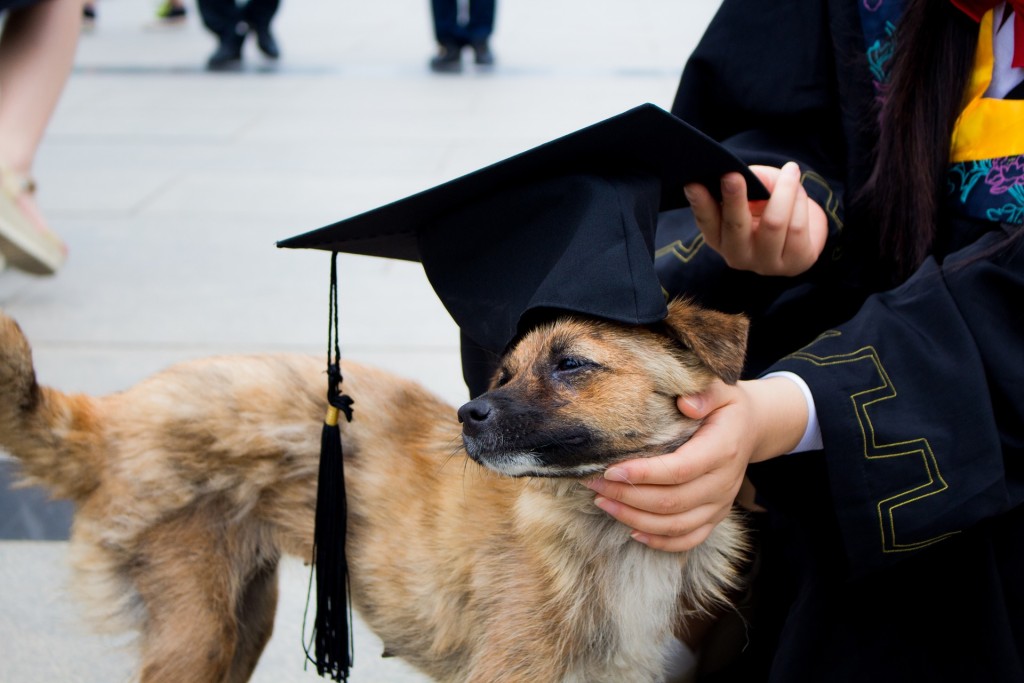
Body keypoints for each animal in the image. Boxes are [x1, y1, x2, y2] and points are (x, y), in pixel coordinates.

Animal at [0, 299, 753, 683]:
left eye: (571, 364)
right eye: (504, 373)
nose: (468, 414)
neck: (595, 519)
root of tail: (114, 416)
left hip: (243, 617)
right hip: (197, 630)